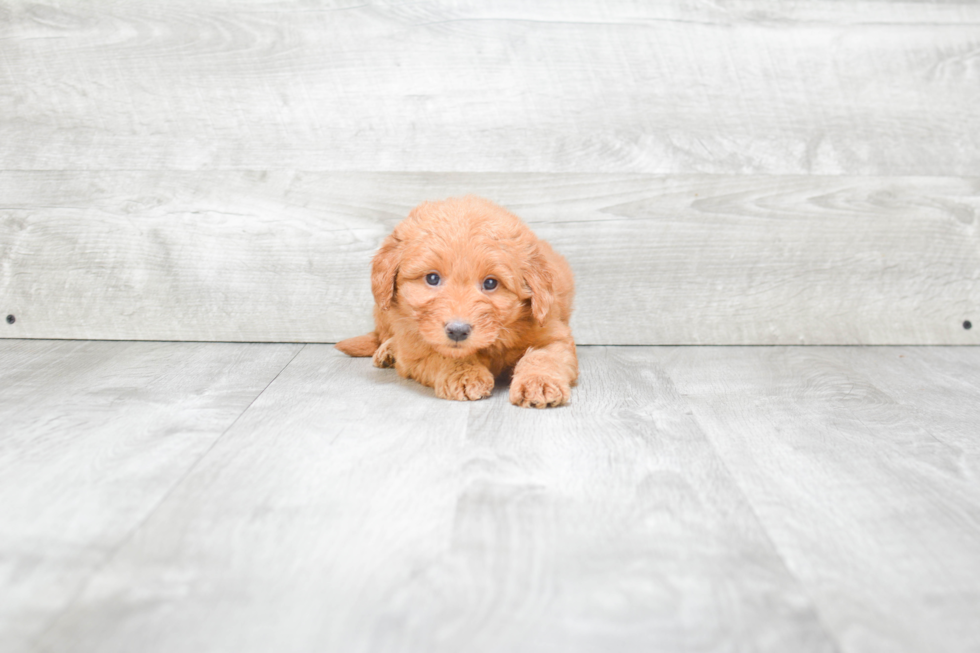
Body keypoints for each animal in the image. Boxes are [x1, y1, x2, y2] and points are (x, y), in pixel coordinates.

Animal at [334, 195, 576, 408]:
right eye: (432, 278)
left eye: (490, 283)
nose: (458, 331)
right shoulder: (415, 345)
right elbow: (440, 353)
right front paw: (464, 374)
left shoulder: (553, 332)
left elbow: (543, 356)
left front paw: (540, 383)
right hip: (382, 311)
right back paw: (387, 351)